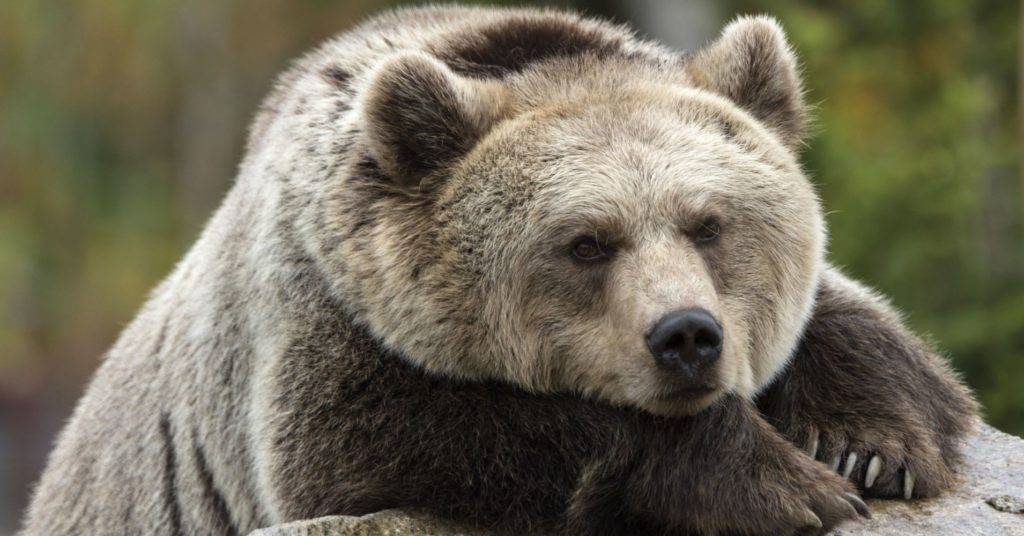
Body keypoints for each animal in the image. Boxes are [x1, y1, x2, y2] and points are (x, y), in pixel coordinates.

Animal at [20, 5, 977, 535]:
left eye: (708, 224)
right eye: (586, 243)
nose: (685, 337)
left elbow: (874, 335)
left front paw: (868, 447)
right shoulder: (322, 313)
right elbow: (394, 437)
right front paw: (785, 484)